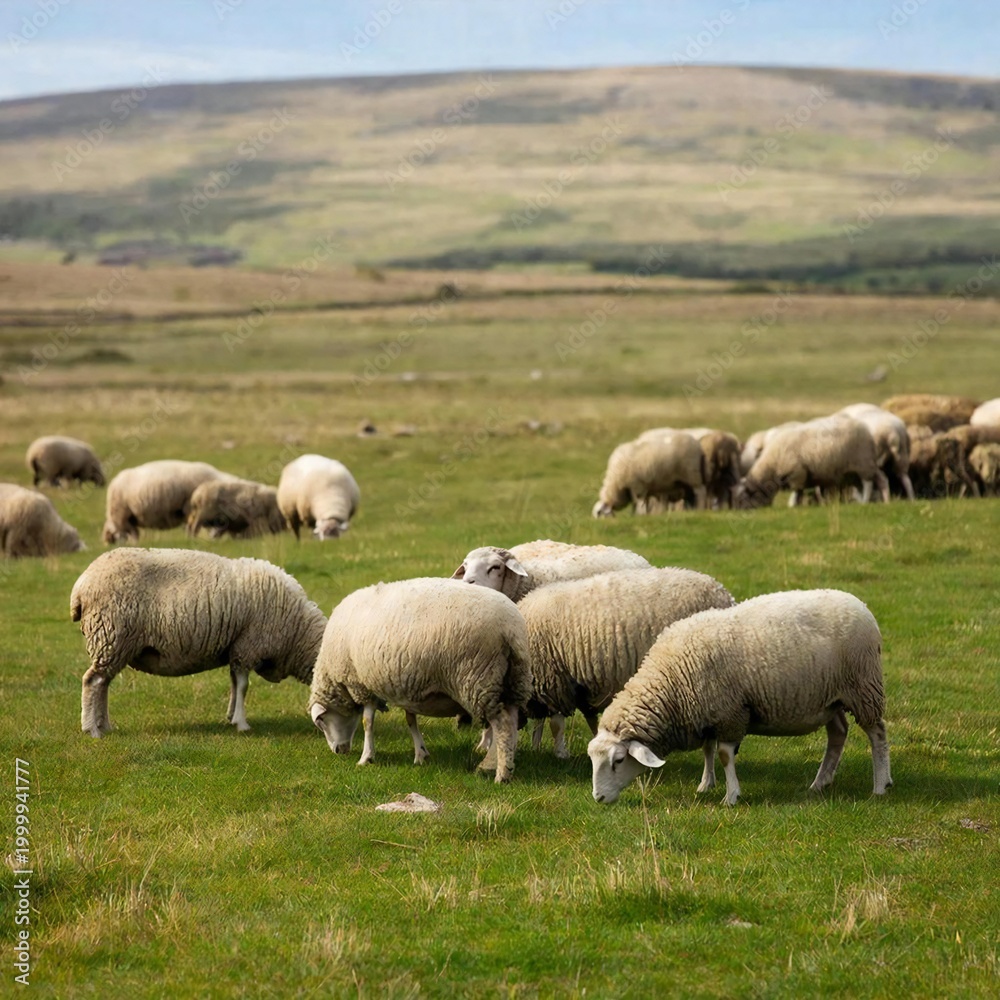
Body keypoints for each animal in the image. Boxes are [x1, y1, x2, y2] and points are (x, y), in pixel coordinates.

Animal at [71, 547, 326, 737]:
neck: (297, 630)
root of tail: (81, 586)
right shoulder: (248, 646)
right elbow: (243, 685)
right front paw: (242, 724)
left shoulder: (236, 649)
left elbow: (235, 684)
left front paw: (230, 716)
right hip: (111, 636)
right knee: (92, 682)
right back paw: (92, 729)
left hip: (114, 645)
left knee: (102, 684)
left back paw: (105, 726)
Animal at [102, 460, 235, 543]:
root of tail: (115, 480)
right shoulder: (190, 509)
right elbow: (192, 527)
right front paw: (191, 540)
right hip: (122, 513)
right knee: (129, 532)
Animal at [309, 578, 531, 783]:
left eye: (322, 721)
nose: (338, 751)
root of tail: (511, 628)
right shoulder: (408, 685)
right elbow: (410, 720)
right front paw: (420, 754)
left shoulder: (361, 685)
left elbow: (367, 722)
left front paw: (366, 757)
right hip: (512, 680)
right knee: (511, 722)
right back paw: (496, 765)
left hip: (479, 679)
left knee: (502, 726)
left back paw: (500, 774)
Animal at [589, 589, 892, 806]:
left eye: (618, 761)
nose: (598, 798)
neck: (672, 680)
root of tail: (861, 605)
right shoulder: (707, 712)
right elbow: (708, 750)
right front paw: (705, 784)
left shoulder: (730, 712)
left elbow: (724, 755)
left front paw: (731, 796)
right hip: (831, 699)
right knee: (838, 734)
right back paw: (820, 783)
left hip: (863, 687)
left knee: (877, 734)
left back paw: (880, 786)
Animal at [740, 415, 888, 508]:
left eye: (749, 495)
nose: (746, 510)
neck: (772, 465)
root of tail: (865, 428)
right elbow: (800, 492)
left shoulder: (797, 472)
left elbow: (797, 491)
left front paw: (794, 505)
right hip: (857, 469)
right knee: (881, 479)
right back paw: (885, 499)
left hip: (862, 463)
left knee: (868, 483)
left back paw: (865, 501)